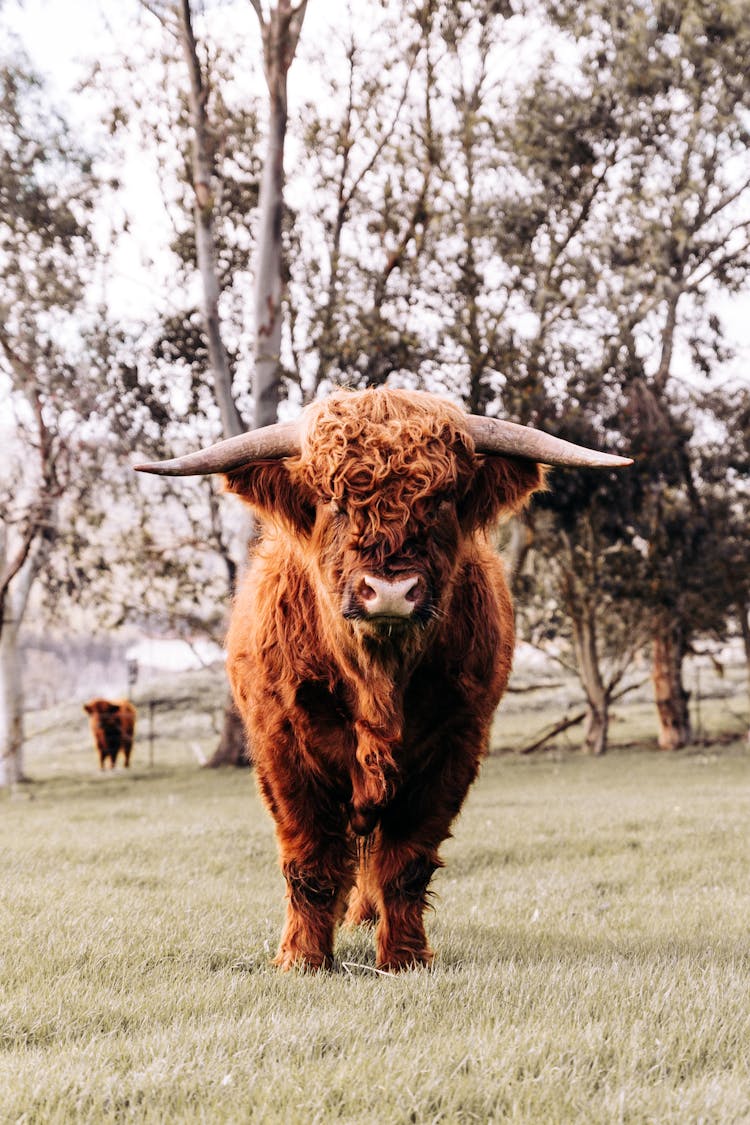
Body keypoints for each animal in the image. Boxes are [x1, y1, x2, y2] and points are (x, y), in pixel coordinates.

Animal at [136, 384, 634, 967]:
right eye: (332, 501)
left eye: (440, 499)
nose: (391, 591)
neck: (379, 678)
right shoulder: (283, 749)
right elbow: (309, 860)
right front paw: (302, 959)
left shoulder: (453, 746)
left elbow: (406, 862)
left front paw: (403, 958)